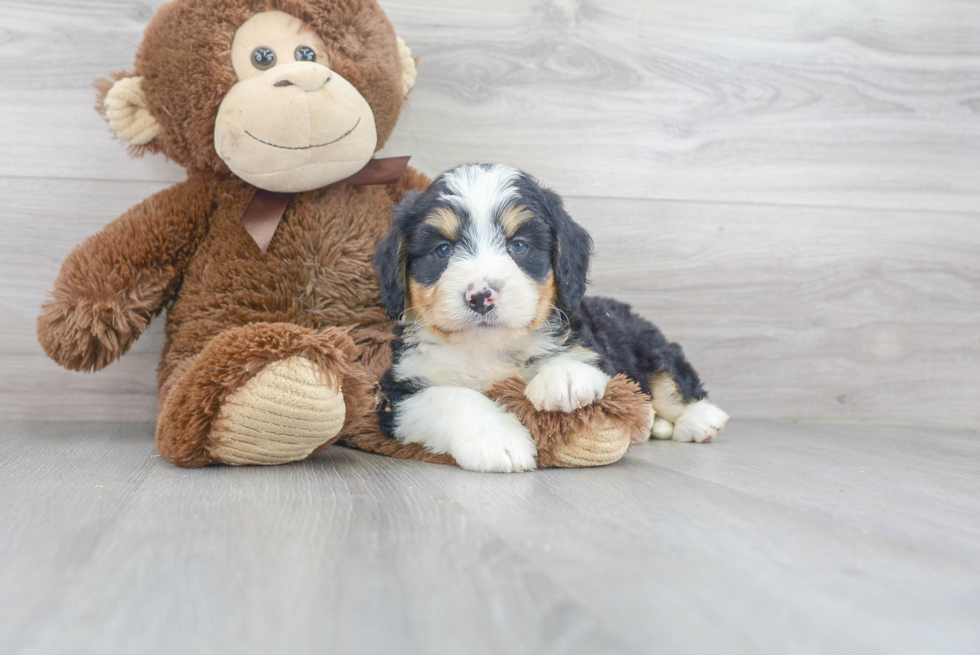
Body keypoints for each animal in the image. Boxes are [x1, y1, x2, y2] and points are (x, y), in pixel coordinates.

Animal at [376, 163, 728, 472]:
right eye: (443, 250)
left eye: (519, 246)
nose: (480, 296)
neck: (487, 347)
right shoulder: (397, 391)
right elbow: (453, 397)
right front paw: (498, 441)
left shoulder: (596, 348)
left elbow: (576, 355)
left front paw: (565, 377)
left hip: (649, 346)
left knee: (674, 384)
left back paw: (699, 420)